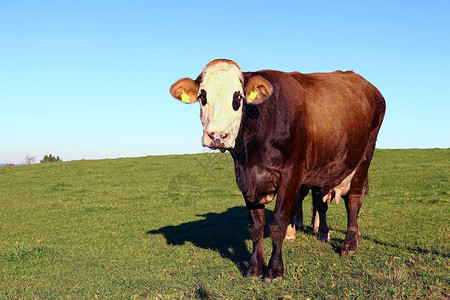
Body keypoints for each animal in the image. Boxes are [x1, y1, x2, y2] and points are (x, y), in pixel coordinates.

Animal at [170, 58, 386, 282]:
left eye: (238, 97)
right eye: (202, 96)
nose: (217, 136)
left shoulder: (291, 175)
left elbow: (278, 223)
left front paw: (274, 270)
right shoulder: (247, 178)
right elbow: (256, 227)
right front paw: (254, 267)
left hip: (364, 156)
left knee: (353, 200)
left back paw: (350, 243)